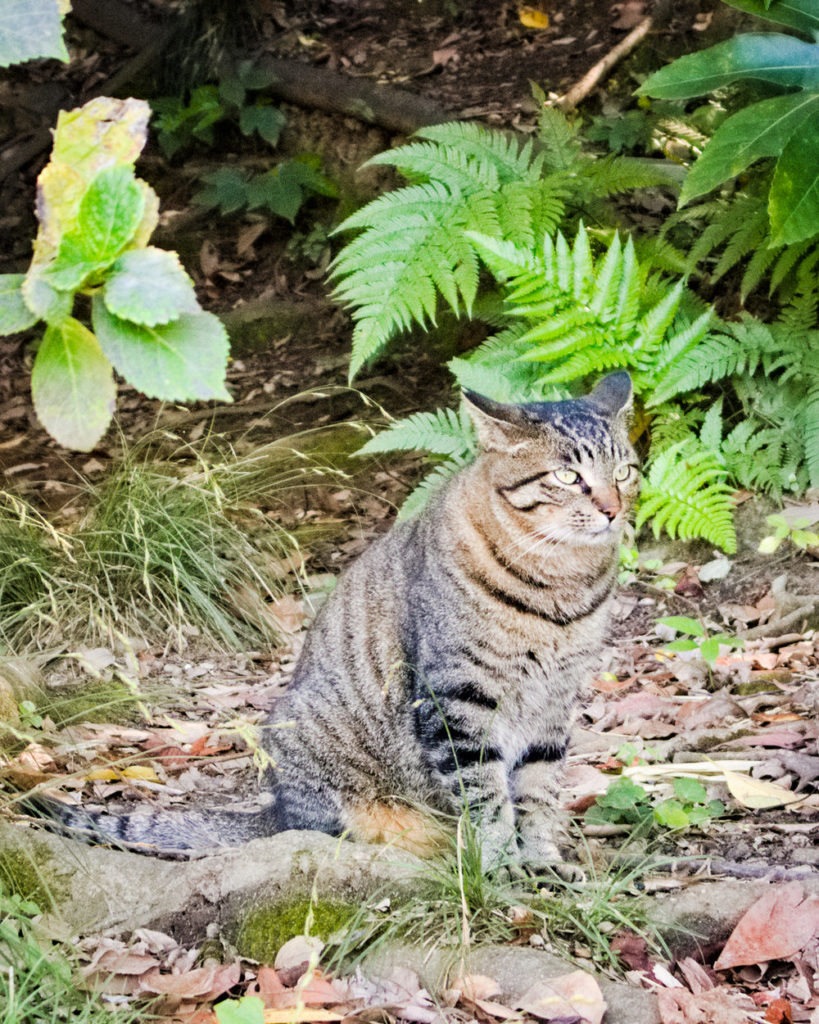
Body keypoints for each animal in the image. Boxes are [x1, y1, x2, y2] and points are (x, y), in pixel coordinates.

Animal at [35, 372, 638, 876]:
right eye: (568, 476)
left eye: (624, 471)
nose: (612, 510)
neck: (564, 587)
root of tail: (277, 811)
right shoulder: (457, 699)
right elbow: (486, 797)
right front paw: (503, 867)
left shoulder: (554, 702)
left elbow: (537, 791)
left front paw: (541, 861)